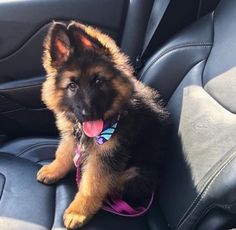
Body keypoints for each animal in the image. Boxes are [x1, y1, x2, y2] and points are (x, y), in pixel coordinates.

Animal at [37, 21, 169, 228]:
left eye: (98, 81)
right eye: (72, 86)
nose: (88, 114)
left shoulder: (107, 155)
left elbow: (92, 184)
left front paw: (78, 212)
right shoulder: (73, 136)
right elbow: (63, 153)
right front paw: (53, 169)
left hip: (137, 173)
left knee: (114, 184)